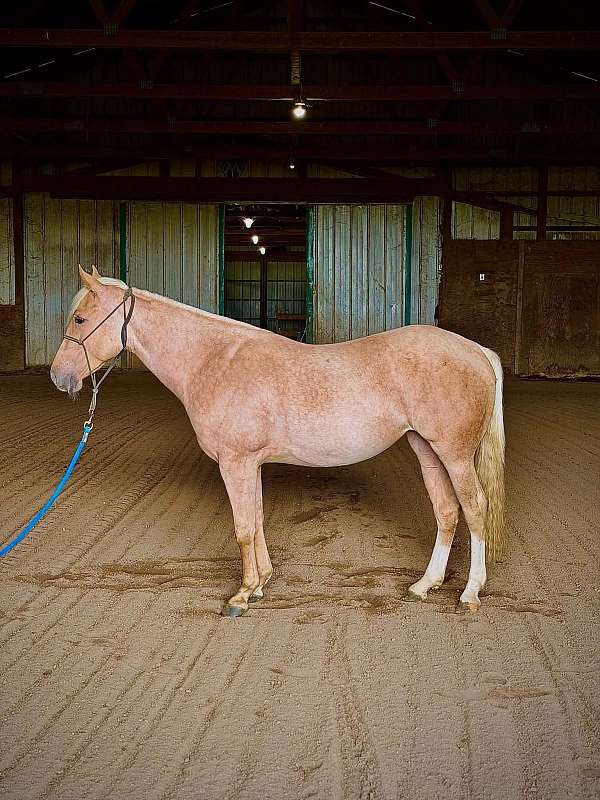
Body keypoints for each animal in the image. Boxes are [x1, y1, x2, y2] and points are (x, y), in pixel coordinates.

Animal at [50, 265, 505, 617]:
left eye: (79, 320)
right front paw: (260, 584)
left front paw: (240, 597)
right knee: (446, 511)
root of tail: (476, 351)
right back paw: (423, 586)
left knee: (474, 509)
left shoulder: (234, 462)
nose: (59, 377)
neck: (214, 360)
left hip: (455, 455)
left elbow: (242, 528)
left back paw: (469, 595)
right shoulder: (249, 464)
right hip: (427, 449)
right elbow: (256, 520)